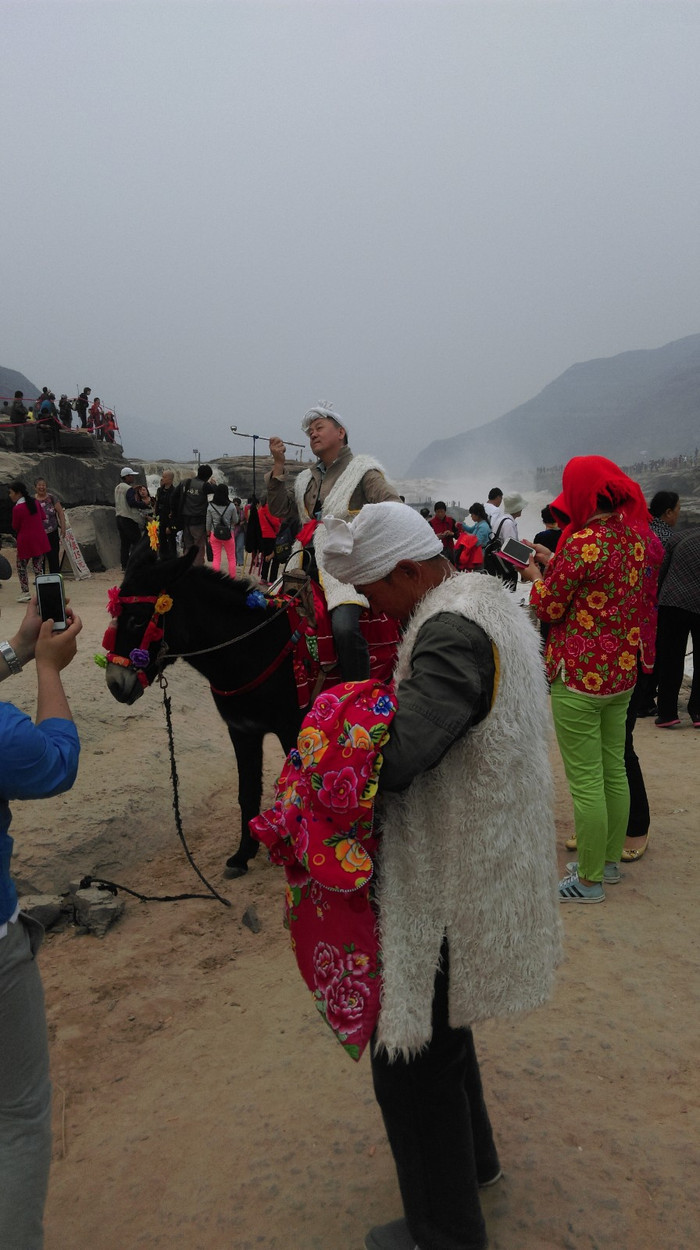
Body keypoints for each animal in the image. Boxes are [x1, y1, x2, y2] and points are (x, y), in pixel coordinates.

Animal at [107, 547, 306, 880]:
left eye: (137, 620)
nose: (114, 684)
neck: (255, 647)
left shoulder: (292, 728)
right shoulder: (242, 730)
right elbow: (246, 792)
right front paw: (243, 855)